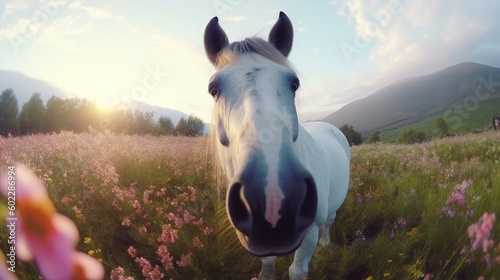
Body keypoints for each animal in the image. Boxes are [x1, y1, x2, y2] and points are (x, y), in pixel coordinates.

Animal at [202, 11, 348, 280]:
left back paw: (326, 245)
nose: (273, 200)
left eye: (294, 83)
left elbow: (297, 270)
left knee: (329, 223)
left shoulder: (309, 232)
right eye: (213, 89)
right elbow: (267, 263)